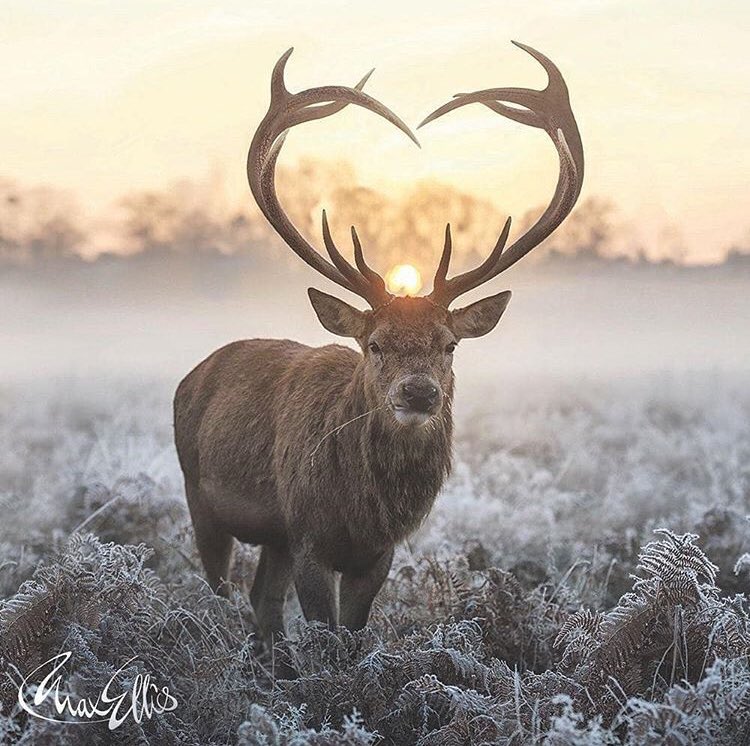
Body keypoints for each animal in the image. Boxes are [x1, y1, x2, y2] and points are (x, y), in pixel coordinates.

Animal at [174, 42, 583, 648]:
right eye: (375, 344)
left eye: (450, 344)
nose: (418, 393)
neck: (363, 511)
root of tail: (193, 374)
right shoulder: (309, 536)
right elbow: (328, 635)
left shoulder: (376, 553)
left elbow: (353, 632)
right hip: (198, 494)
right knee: (220, 590)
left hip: (273, 535)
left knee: (262, 601)